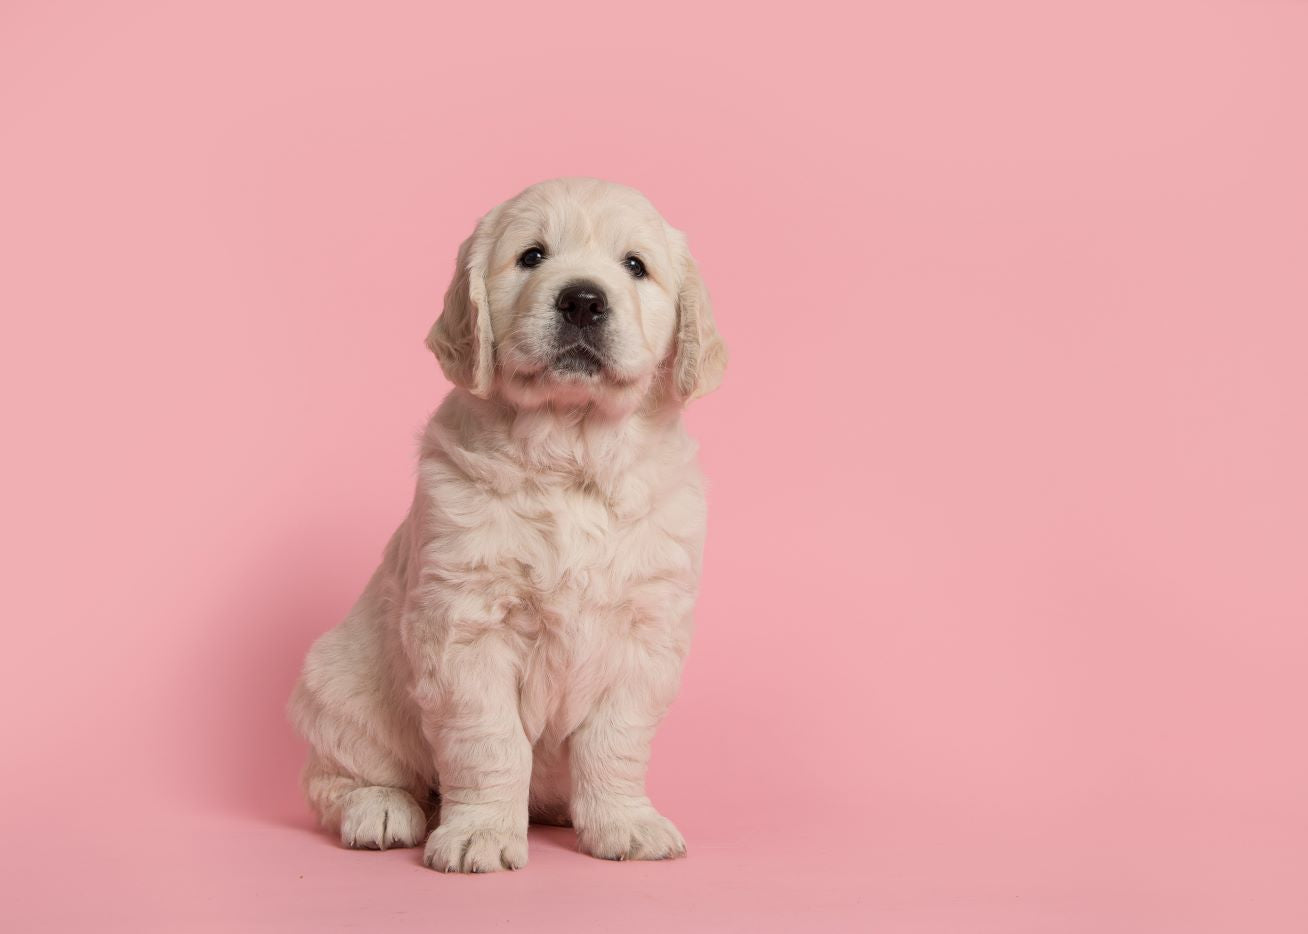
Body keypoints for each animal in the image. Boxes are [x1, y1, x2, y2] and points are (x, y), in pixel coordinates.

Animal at [287, 177, 732, 868]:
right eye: (531, 256)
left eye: (635, 266)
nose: (583, 300)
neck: (572, 453)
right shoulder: (465, 626)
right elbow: (489, 742)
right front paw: (480, 834)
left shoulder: (647, 631)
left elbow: (616, 740)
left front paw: (625, 823)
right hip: (339, 688)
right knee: (340, 778)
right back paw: (382, 810)